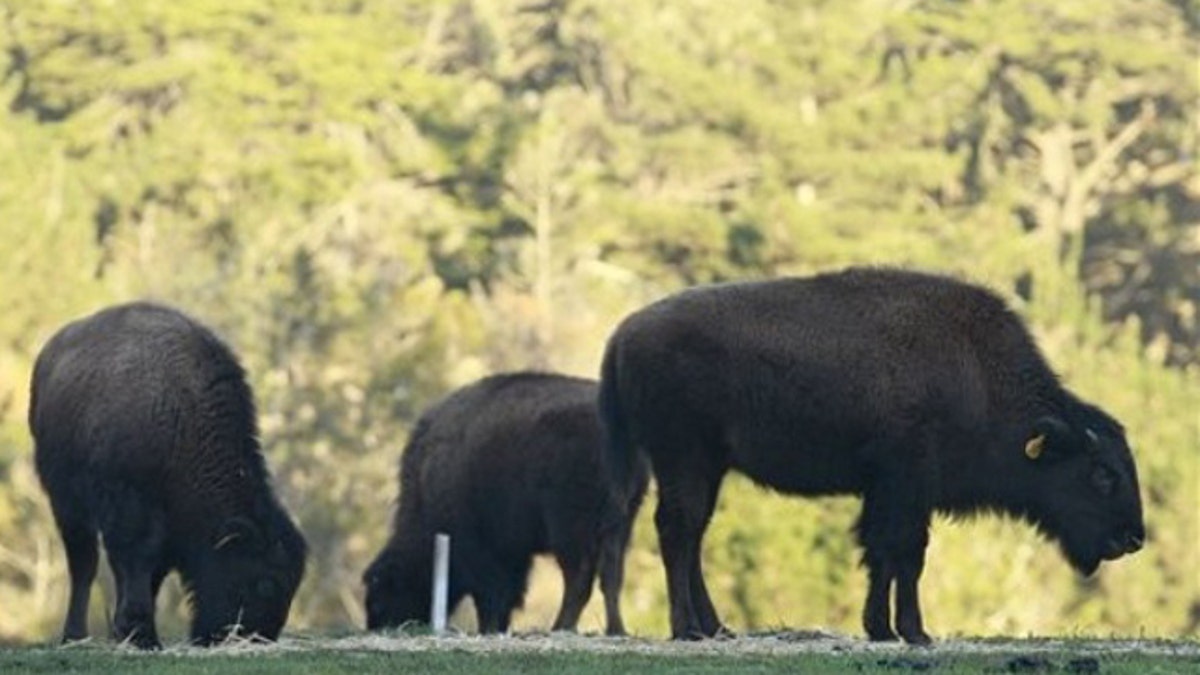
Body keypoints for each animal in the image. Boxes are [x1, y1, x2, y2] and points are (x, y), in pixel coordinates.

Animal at [32, 300, 307, 648]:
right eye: (265, 583)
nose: (257, 635)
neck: (182, 415)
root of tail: (50, 353)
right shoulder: (131, 506)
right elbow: (138, 559)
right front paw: (142, 634)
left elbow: (150, 572)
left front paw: (130, 630)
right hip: (65, 502)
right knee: (83, 563)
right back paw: (74, 635)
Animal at [362, 369, 648, 634]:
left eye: (380, 597)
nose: (378, 625)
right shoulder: (513, 553)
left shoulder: (484, 549)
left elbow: (492, 592)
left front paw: (489, 627)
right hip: (620, 525)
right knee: (611, 576)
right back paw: (615, 629)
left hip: (571, 530)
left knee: (579, 578)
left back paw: (560, 627)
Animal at [600, 266, 1142, 638]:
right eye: (1102, 474)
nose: (1133, 538)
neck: (978, 375)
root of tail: (624, 333)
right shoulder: (908, 484)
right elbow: (906, 553)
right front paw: (916, 633)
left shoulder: (886, 490)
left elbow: (879, 553)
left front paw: (881, 628)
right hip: (684, 459)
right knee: (678, 531)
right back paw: (687, 628)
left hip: (705, 467)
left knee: (692, 534)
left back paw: (715, 627)